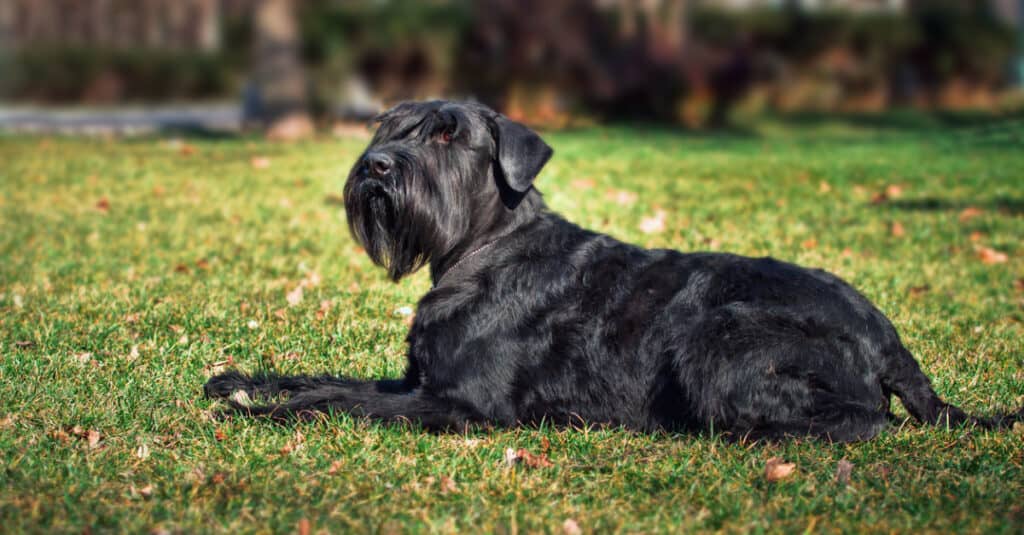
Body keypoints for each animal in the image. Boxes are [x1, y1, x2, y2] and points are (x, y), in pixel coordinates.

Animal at [203, 99, 1019, 440]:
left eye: (447, 135)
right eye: (391, 127)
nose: (376, 165)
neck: (481, 249)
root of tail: (887, 336)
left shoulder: (462, 404)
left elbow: (341, 401)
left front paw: (261, 411)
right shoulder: (421, 381)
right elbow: (330, 379)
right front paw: (241, 381)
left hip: (718, 339)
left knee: (862, 420)